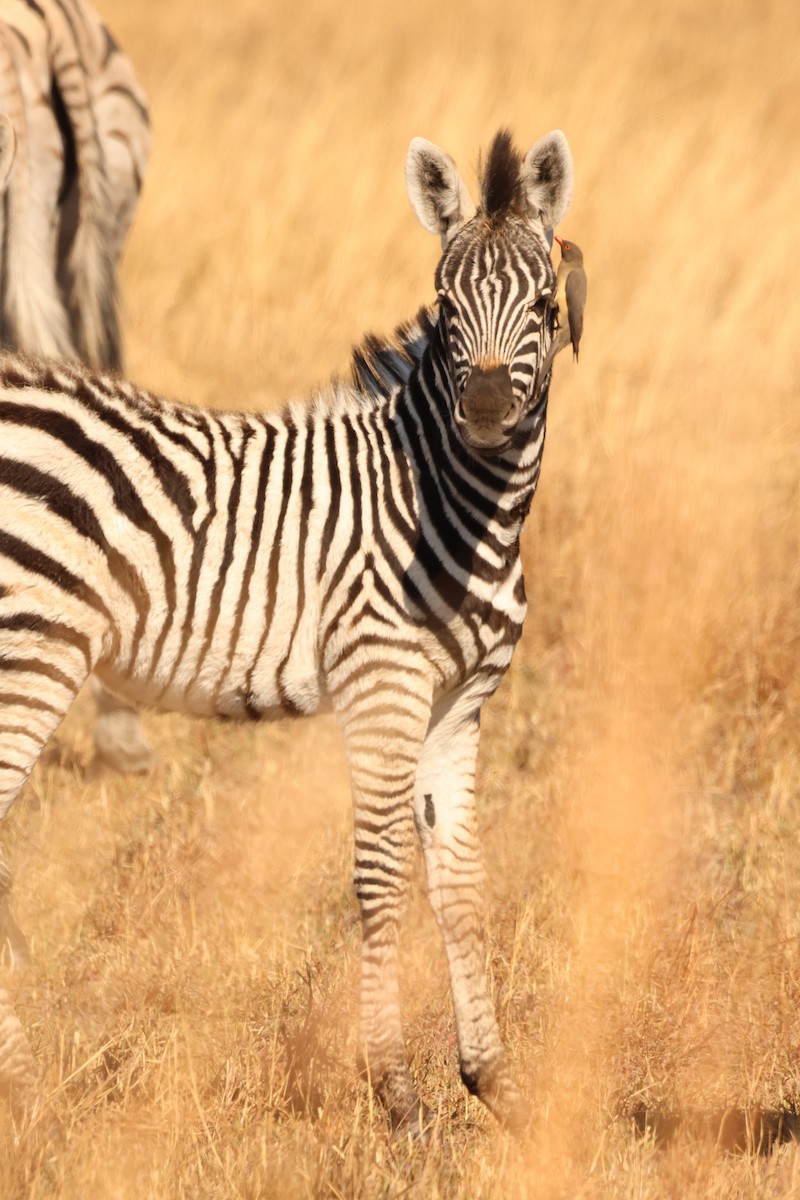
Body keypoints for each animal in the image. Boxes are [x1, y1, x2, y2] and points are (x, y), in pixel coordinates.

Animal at [0, 129, 575, 1132]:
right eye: (443, 305)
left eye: (544, 304)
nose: (484, 416)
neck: (454, 503)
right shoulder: (382, 685)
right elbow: (380, 877)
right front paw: (397, 1092)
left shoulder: (458, 705)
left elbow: (461, 883)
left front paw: (494, 1083)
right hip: (29, 651)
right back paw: (27, 1089)